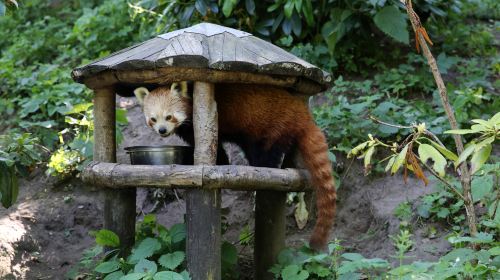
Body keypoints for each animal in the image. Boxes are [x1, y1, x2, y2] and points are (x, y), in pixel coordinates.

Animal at [134, 81, 336, 249]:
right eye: (153, 119)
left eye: (169, 117)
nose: (162, 130)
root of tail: (302, 111)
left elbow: (215, 148)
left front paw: (213, 160)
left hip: (275, 126)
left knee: (268, 149)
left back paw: (264, 166)